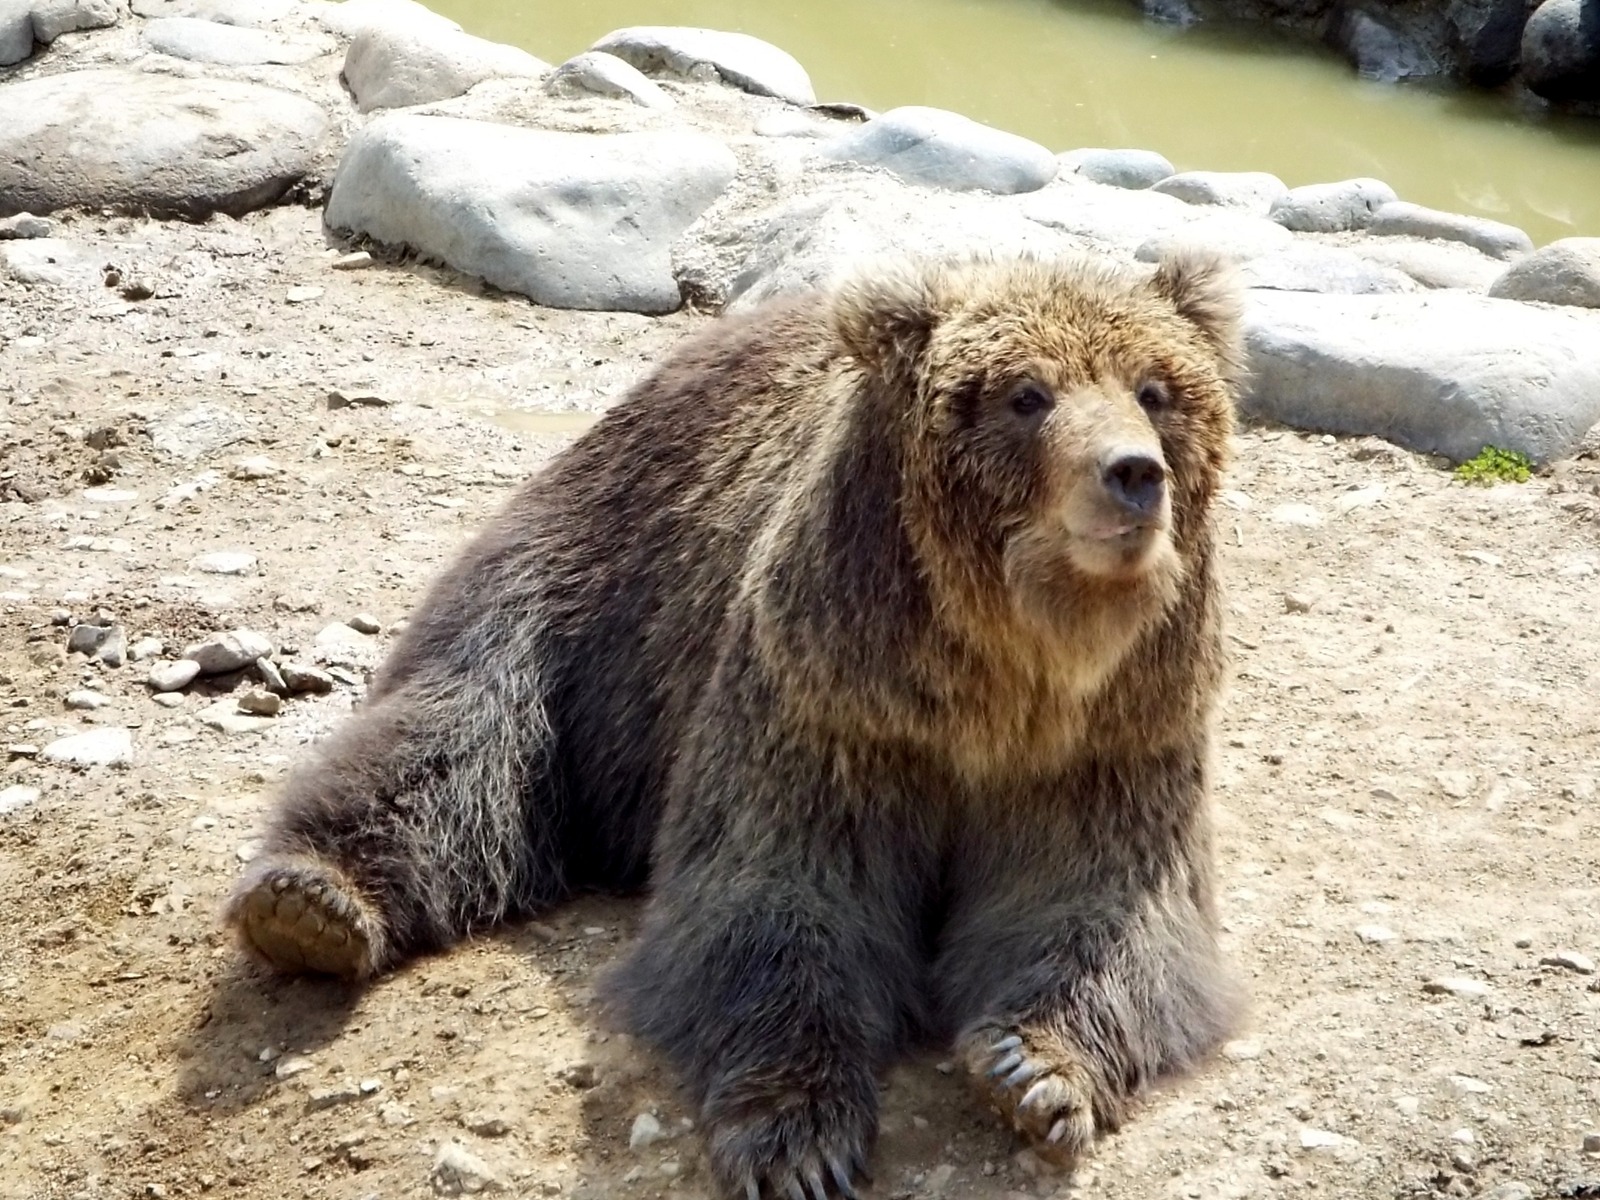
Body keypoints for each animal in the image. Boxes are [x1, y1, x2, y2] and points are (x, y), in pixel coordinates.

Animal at [224, 248, 1246, 1200]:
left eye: (1155, 389)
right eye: (1026, 393)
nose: (1132, 473)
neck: (1004, 668)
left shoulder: (1111, 735)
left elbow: (1095, 900)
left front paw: (1032, 1071)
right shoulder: (829, 698)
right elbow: (778, 888)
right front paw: (795, 1134)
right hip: (590, 589)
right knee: (457, 743)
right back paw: (309, 903)